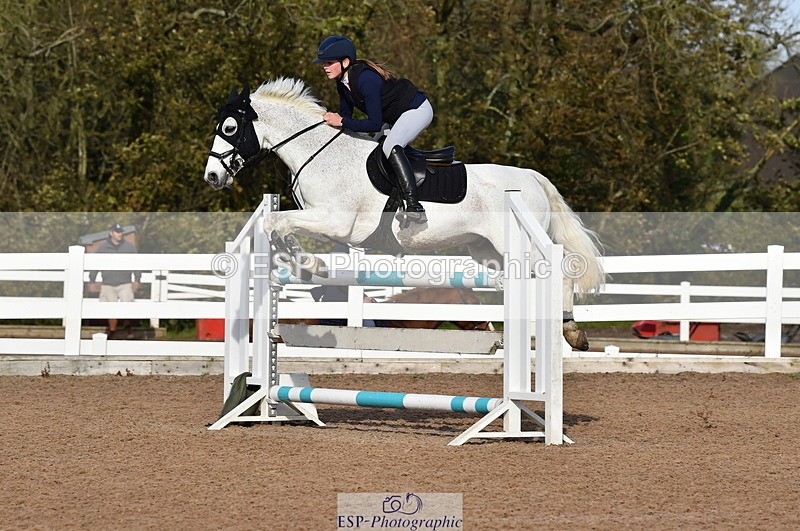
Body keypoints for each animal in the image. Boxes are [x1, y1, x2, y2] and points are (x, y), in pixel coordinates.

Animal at [203, 78, 604, 350]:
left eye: (230, 127)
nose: (212, 177)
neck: (320, 153)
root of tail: (533, 177)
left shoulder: (336, 221)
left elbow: (279, 221)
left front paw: (308, 264)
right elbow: (276, 227)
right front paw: (304, 266)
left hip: (519, 244)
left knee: (562, 271)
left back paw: (573, 333)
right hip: (486, 251)